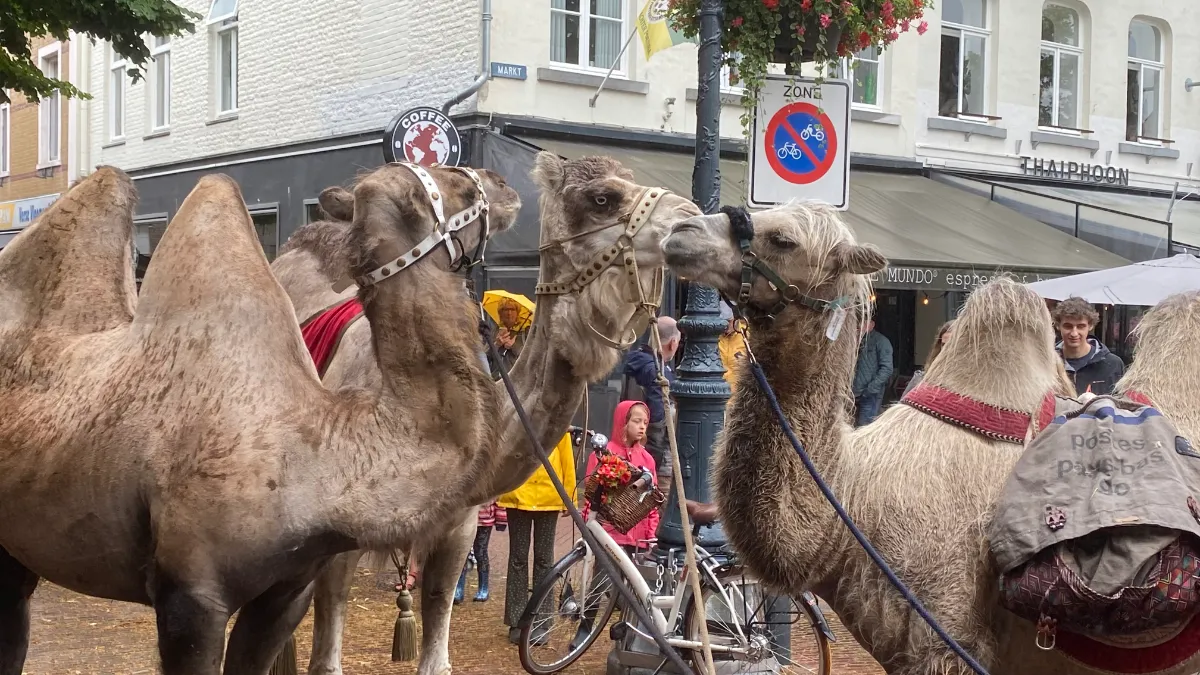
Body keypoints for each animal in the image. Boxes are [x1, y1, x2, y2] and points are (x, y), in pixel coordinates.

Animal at [267, 152, 700, 672]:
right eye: (602, 198)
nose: (694, 216)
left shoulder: (459, 528)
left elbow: (436, 648)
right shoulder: (335, 542)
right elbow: (326, 655)